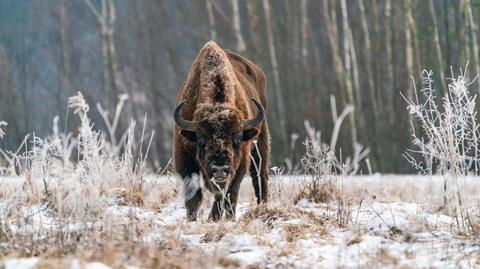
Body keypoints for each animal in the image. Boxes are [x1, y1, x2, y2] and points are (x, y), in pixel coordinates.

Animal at [173, 41, 270, 220]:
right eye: (201, 139)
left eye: (237, 138)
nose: (219, 169)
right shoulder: (183, 157)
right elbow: (194, 197)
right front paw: (193, 220)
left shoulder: (239, 164)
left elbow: (228, 194)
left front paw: (214, 219)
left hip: (260, 143)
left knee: (260, 177)